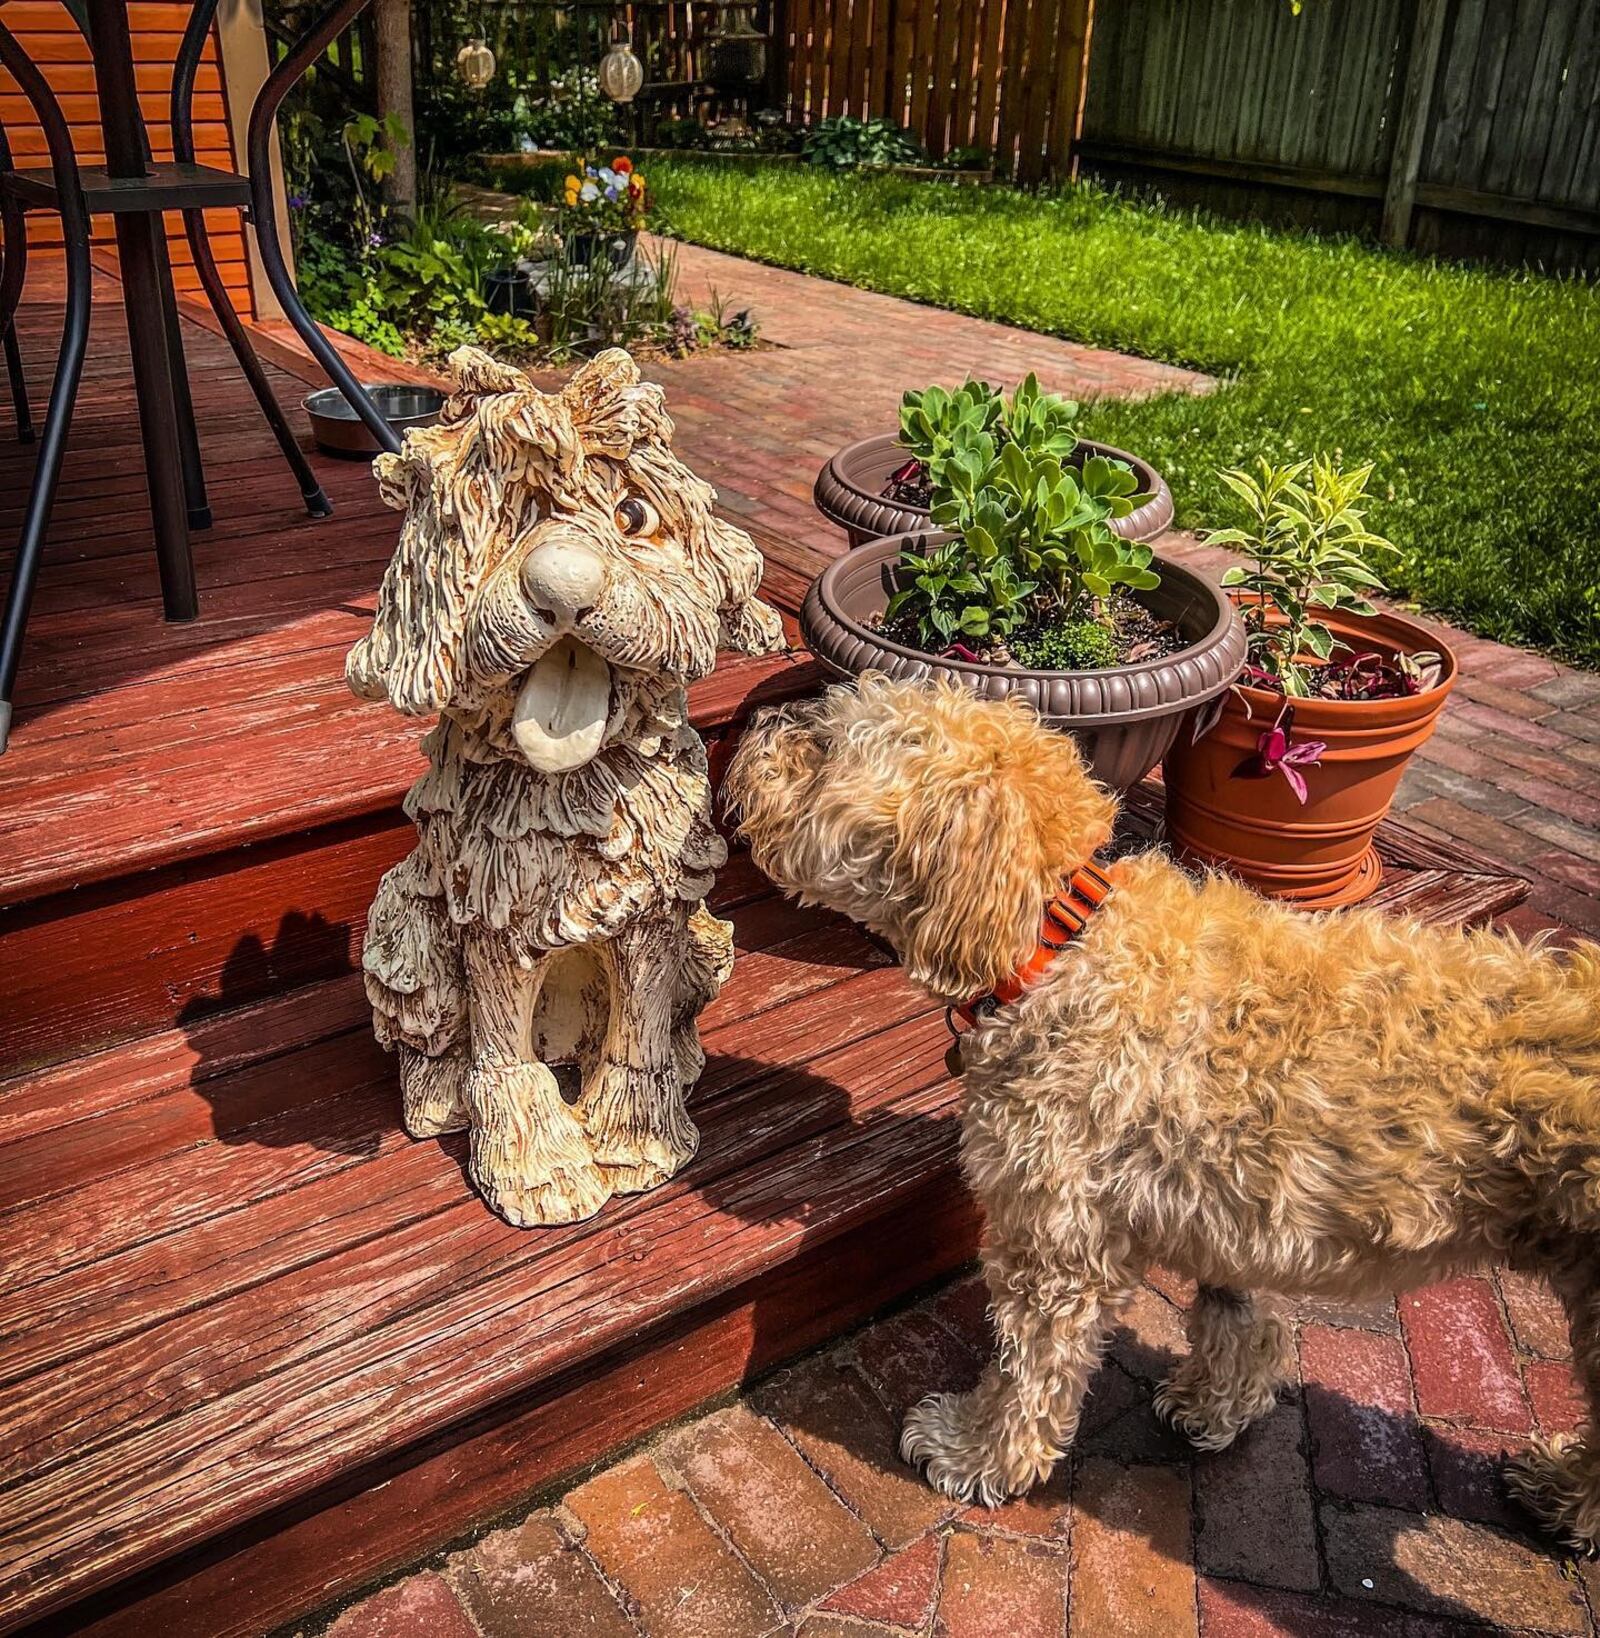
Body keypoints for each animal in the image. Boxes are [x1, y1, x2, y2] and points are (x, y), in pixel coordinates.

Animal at [727, 674, 1598, 1546]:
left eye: (827, 746)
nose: (761, 721)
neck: (1062, 943)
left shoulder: (1056, 1246)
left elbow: (1026, 1373)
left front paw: (974, 1452)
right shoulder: (1242, 1208)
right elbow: (1239, 1314)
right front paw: (1221, 1402)